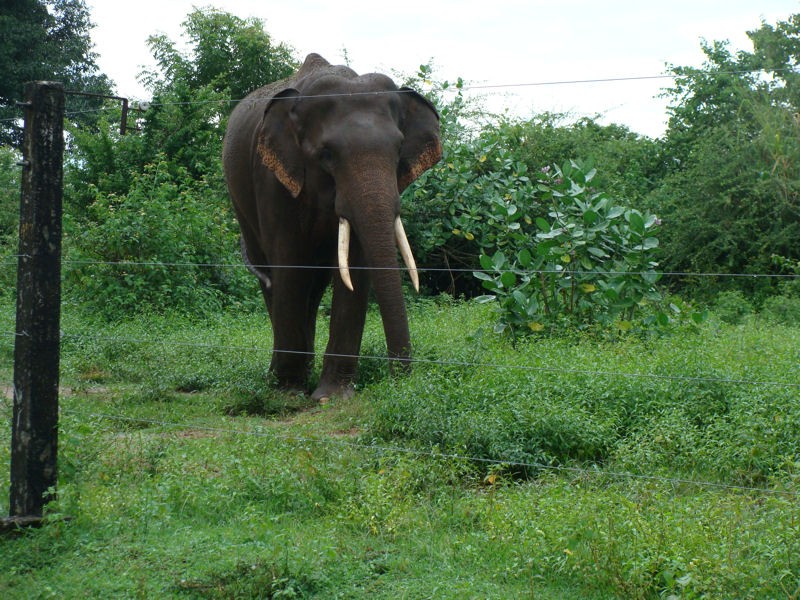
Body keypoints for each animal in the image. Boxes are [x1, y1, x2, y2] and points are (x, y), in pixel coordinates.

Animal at [222, 51, 440, 398]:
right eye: (326, 154)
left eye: (398, 151)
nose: (403, 380)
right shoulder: (272, 176)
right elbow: (290, 262)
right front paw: (289, 391)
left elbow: (356, 267)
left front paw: (330, 396)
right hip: (240, 198)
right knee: (273, 275)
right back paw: (279, 377)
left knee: (314, 285)